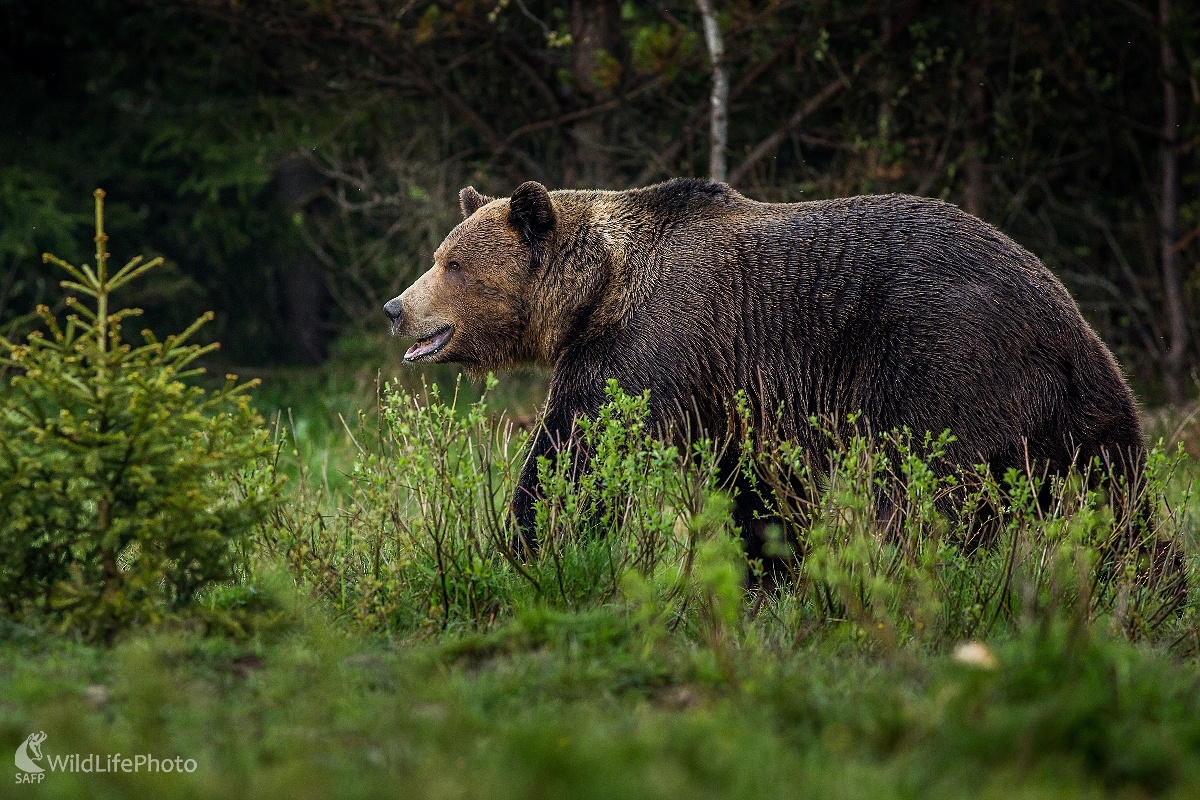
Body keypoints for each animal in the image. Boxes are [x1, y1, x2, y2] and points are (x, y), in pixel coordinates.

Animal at [384, 179, 1142, 556]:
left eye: (453, 264)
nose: (396, 307)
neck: (598, 288)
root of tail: (1061, 318)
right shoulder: (730, 392)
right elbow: (759, 488)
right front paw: (771, 563)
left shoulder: (652, 343)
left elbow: (580, 449)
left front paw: (532, 540)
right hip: (1088, 404)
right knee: (1119, 496)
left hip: (949, 358)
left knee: (920, 489)